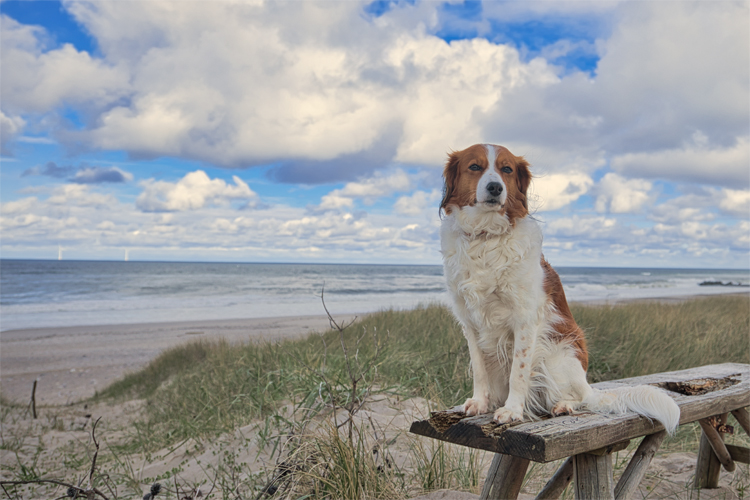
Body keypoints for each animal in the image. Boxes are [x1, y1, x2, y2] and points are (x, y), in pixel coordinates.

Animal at [440, 143, 680, 432]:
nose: (495, 188)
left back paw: (564, 405)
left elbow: (518, 372)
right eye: (474, 167)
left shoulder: (525, 320)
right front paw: (479, 402)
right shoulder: (469, 321)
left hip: (558, 354)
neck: (486, 238)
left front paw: (512, 410)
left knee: (581, 398)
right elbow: (479, 369)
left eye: (506, 169)